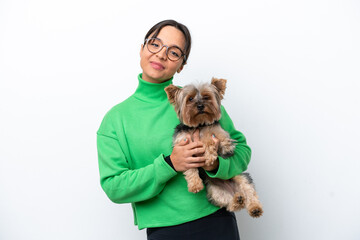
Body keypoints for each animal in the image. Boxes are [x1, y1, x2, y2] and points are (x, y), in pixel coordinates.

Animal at [165, 79, 262, 218]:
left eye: (206, 97)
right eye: (190, 99)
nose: (200, 106)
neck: (199, 125)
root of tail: (233, 190)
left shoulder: (220, 134)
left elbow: (210, 139)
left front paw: (210, 156)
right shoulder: (184, 148)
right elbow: (190, 169)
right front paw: (195, 185)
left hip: (239, 176)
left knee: (249, 191)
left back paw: (255, 208)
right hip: (214, 191)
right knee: (229, 203)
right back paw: (237, 201)